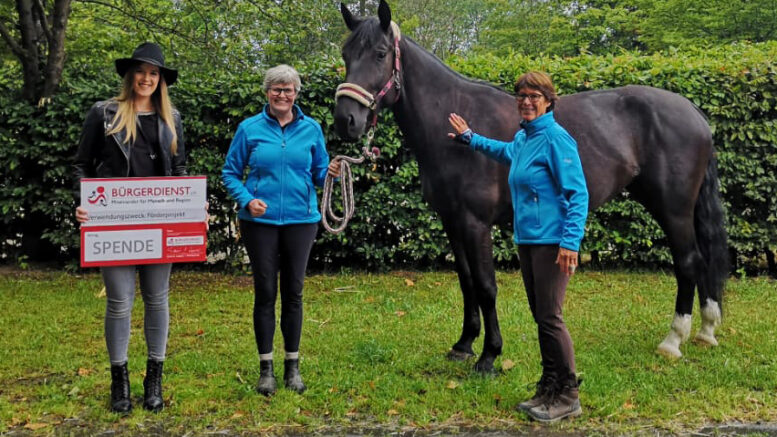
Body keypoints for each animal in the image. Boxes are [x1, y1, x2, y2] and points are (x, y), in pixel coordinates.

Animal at [334, 0, 728, 372]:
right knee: (703, 260)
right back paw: (706, 331)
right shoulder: (452, 222)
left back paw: (673, 340)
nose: (346, 120)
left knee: (688, 261)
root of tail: (694, 112)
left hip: (673, 208)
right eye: (345, 54)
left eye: (380, 54)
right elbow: (466, 282)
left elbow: (486, 286)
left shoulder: (476, 224)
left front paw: (489, 355)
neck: (453, 126)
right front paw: (464, 344)